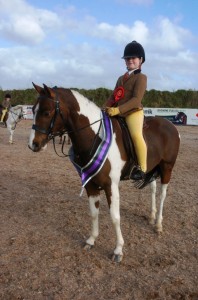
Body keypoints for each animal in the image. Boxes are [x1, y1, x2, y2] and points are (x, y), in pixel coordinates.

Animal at [28, 83, 180, 262]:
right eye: (33, 110)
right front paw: (91, 240)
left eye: (46, 112)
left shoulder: (110, 185)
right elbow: (94, 213)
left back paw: (158, 224)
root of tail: (169, 124)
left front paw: (118, 250)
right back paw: (151, 216)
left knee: (162, 194)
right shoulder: (91, 184)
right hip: (151, 167)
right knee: (153, 189)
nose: (33, 144)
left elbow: (115, 217)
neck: (95, 136)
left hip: (167, 167)